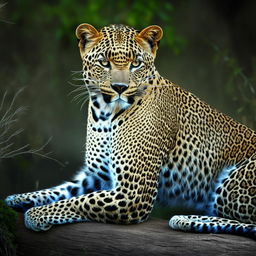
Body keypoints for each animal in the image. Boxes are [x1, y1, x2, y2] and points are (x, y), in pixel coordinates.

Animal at [4, 23, 256, 237]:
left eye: (136, 63)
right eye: (104, 62)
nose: (119, 88)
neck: (104, 115)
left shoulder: (133, 192)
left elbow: (80, 202)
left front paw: (36, 214)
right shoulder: (98, 176)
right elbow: (61, 191)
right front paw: (18, 198)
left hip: (232, 185)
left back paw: (186, 219)